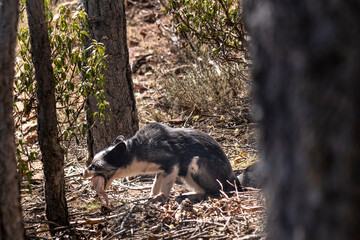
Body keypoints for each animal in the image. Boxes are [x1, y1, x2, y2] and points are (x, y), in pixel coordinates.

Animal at [83, 123, 242, 205]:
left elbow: (165, 188)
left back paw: (186, 197)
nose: (83, 172)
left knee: (211, 192)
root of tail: (234, 179)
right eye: (91, 163)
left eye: (94, 166)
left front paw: (161, 199)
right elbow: (155, 186)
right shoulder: (161, 170)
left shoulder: (172, 164)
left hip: (195, 163)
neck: (138, 150)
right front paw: (151, 197)